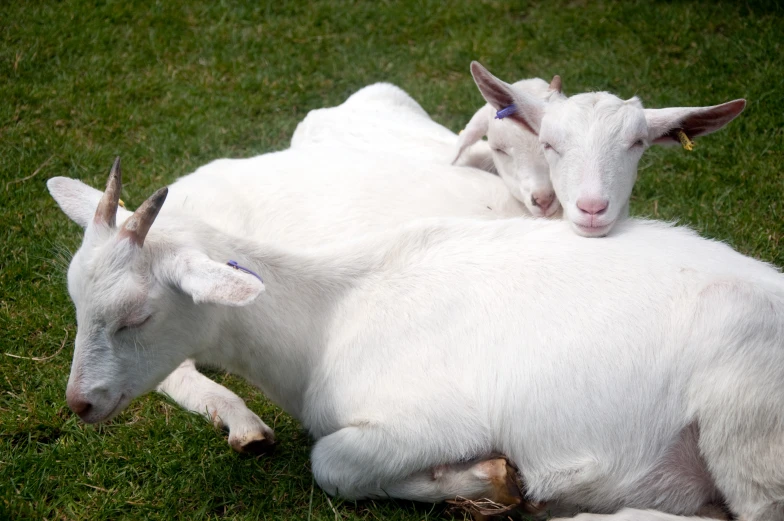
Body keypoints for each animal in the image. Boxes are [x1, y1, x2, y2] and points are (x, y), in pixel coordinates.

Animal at [49, 159, 784, 520]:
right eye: (76, 301)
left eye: (137, 316)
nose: (80, 403)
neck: (327, 317)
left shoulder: (432, 418)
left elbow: (332, 463)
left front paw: (494, 482)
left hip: (747, 427)